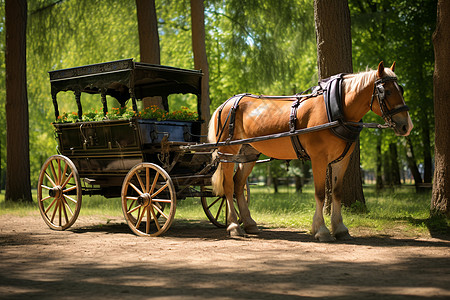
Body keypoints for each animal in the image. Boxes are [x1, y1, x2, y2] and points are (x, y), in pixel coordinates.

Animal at [207, 61, 412, 241]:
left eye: (401, 89)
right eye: (386, 91)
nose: (407, 126)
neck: (336, 109)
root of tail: (225, 104)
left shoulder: (341, 160)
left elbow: (336, 192)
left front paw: (340, 228)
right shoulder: (318, 159)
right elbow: (320, 193)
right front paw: (321, 230)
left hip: (248, 154)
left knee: (238, 184)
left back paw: (249, 223)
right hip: (228, 152)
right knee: (228, 186)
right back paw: (234, 226)